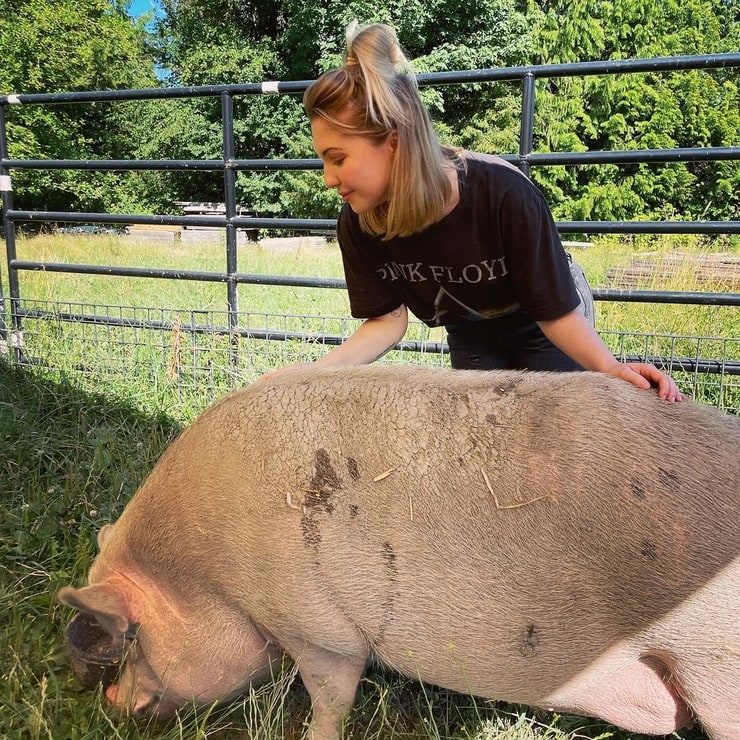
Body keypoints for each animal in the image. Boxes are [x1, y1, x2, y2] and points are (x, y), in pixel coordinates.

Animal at [57, 366, 740, 740]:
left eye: (132, 638)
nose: (109, 703)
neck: (207, 573)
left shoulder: (320, 628)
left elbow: (331, 697)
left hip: (714, 660)